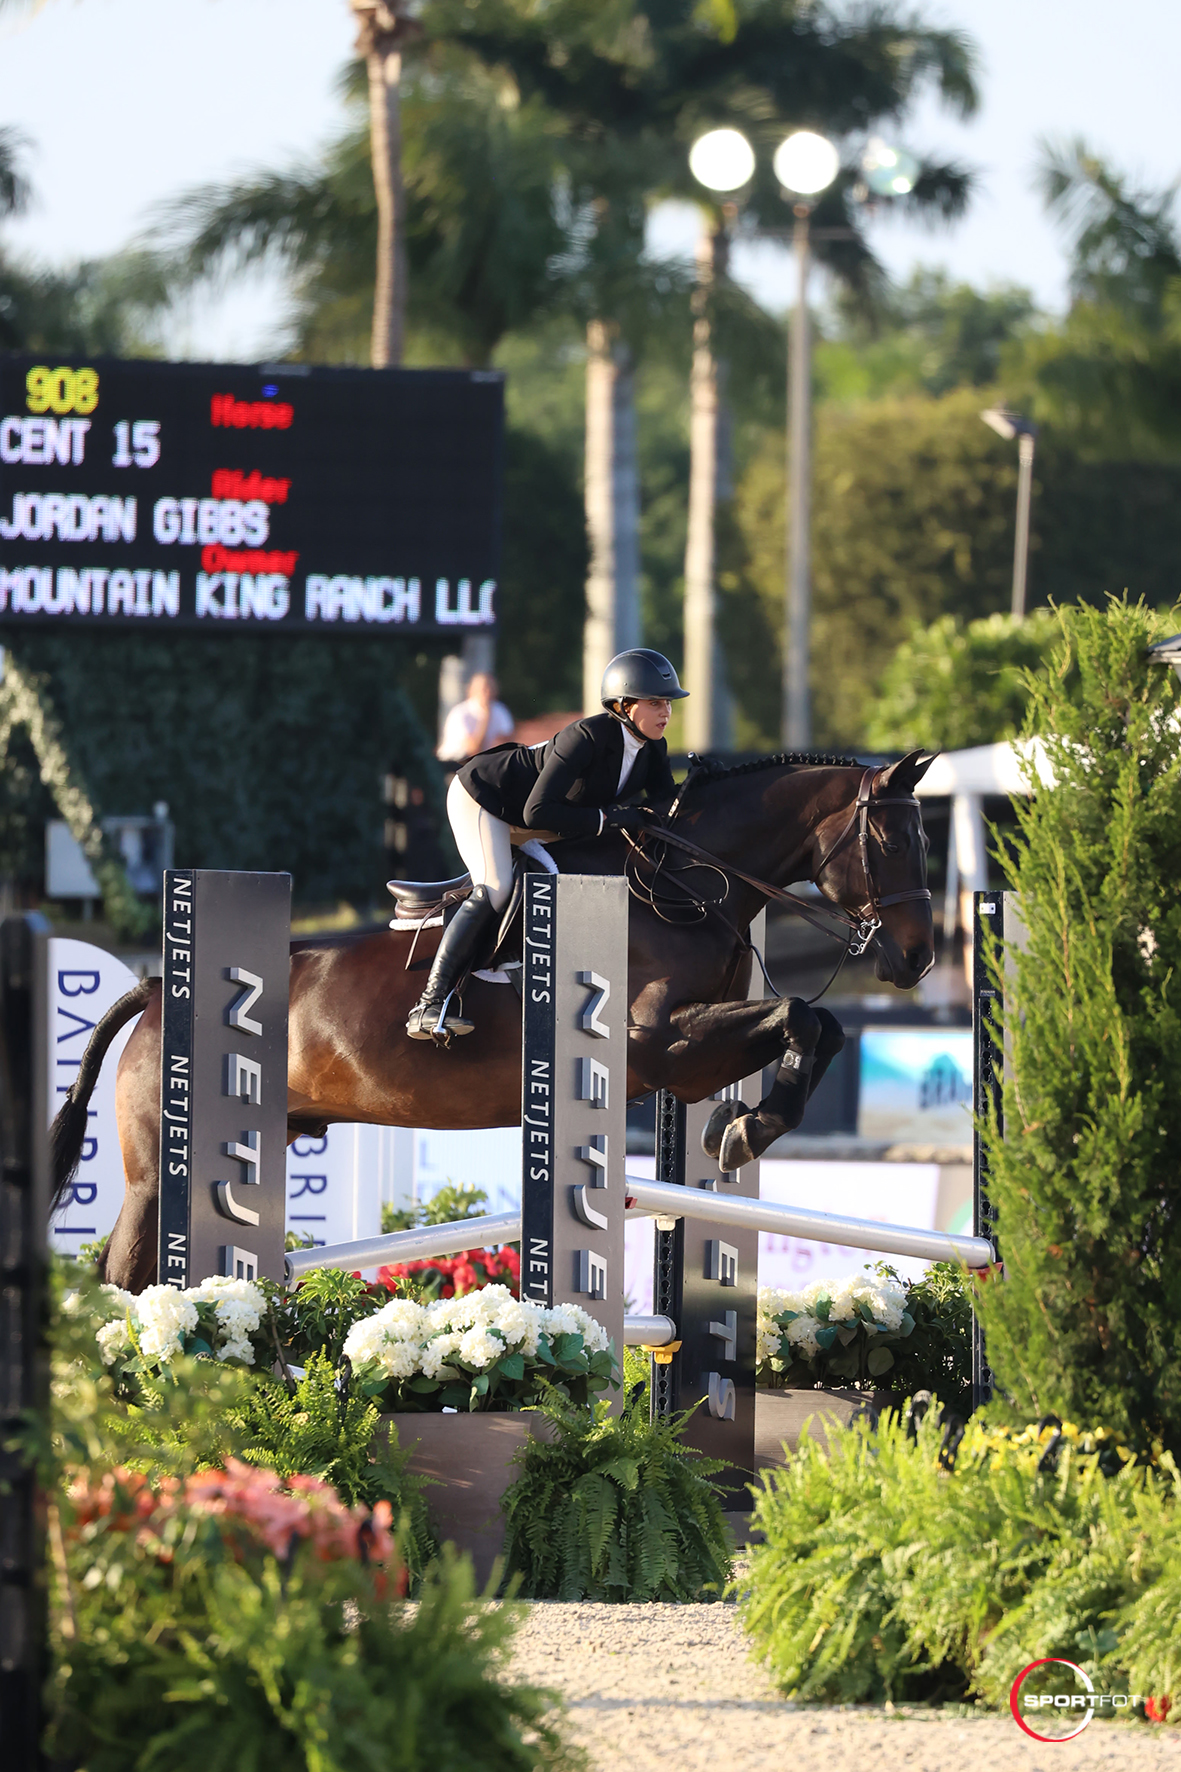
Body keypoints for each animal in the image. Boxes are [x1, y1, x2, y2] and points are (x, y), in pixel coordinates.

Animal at [52, 747, 929, 1290]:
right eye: (890, 840)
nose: (915, 959)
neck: (683, 886)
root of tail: (157, 988)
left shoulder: (688, 1055)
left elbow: (817, 1026)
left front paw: (734, 1128)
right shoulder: (664, 1046)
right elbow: (798, 1016)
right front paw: (747, 1129)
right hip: (153, 1175)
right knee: (124, 1278)